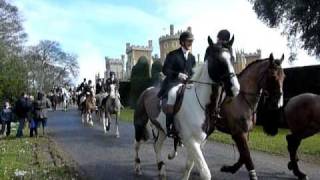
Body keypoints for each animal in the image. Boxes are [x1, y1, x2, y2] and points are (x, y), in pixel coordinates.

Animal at [132, 35, 240, 179]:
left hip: (162, 129)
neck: (202, 105)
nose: (235, 88)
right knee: (137, 145)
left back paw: (161, 169)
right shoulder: (191, 141)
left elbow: (189, 165)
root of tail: (147, 90)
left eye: (232, 59)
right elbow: (205, 173)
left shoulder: (200, 142)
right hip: (140, 124)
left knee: (157, 146)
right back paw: (138, 167)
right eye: (218, 60)